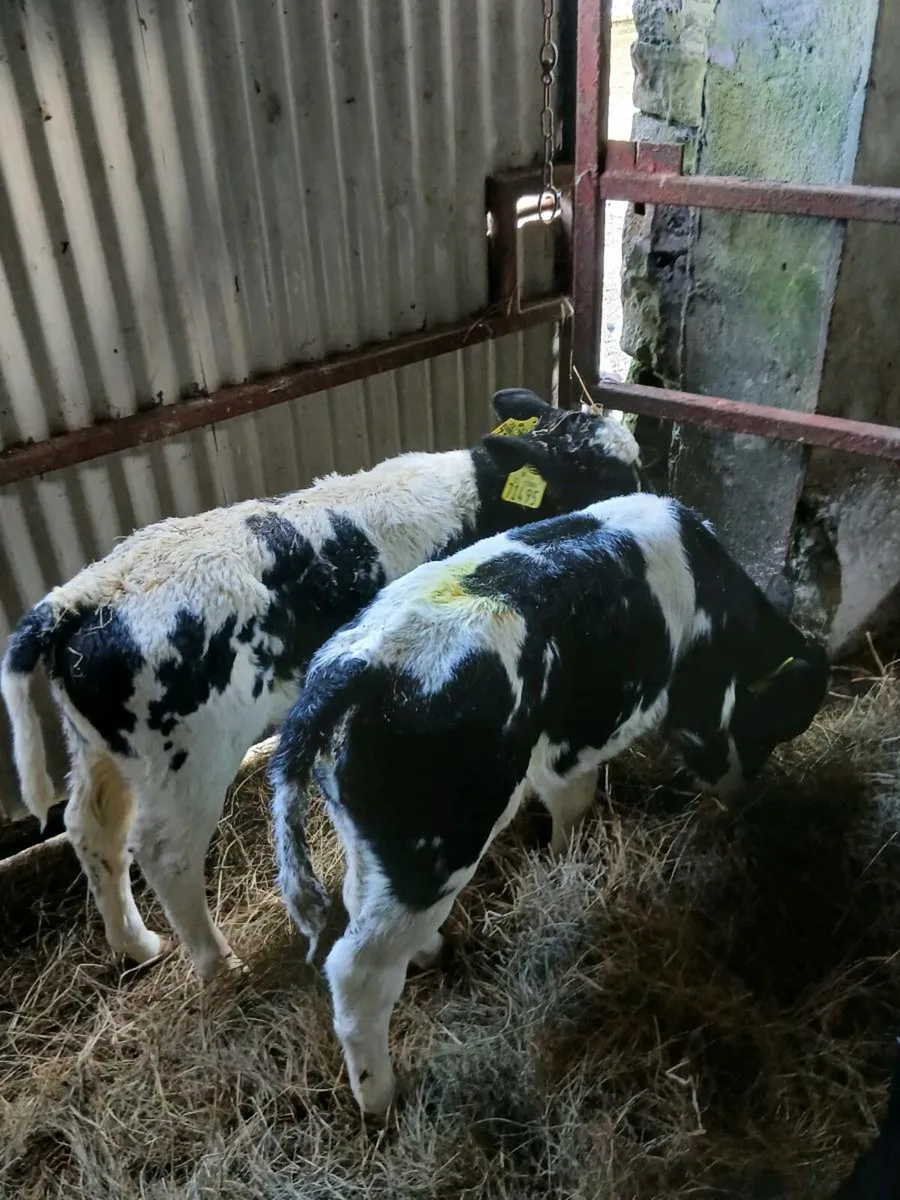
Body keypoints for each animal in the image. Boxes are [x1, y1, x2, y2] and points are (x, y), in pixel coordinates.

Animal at [1, 389, 642, 982]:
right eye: (604, 476)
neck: (477, 501)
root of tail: (82, 596)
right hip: (184, 757)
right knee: (165, 854)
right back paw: (219, 964)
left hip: (101, 748)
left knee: (90, 828)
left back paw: (137, 944)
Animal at [269, 491, 830, 1114]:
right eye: (774, 723)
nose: (753, 787)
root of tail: (350, 668)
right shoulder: (697, 704)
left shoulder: (565, 742)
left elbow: (571, 796)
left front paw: (566, 857)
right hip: (435, 844)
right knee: (357, 970)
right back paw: (381, 1099)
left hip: (370, 832)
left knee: (359, 901)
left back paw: (429, 953)